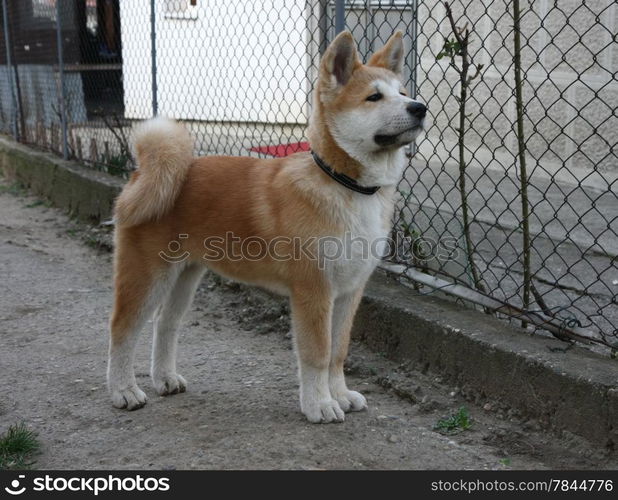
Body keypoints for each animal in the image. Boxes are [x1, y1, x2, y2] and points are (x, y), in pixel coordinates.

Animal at [107, 31, 424, 422]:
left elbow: (338, 352)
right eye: (374, 97)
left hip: (185, 276)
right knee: (122, 329)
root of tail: (143, 173)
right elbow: (317, 354)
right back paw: (123, 391)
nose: (420, 108)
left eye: (404, 92)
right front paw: (319, 404)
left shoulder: (349, 291)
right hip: (148, 275)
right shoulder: (313, 291)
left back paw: (164, 379)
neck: (346, 186)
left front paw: (340, 394)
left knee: (165, 324)